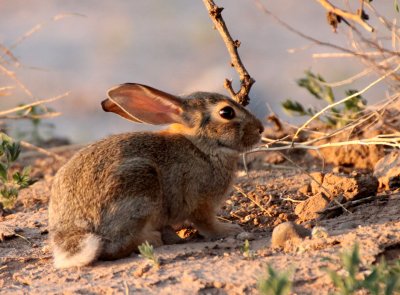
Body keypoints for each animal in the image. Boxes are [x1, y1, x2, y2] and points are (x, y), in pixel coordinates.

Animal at [48, 82, 264, 268]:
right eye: (226, 112)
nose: (260, 129)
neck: (201, 146)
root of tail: (73, 229)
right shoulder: (200, 202)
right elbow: (207, 224)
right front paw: (230, 230)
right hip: (139, 185)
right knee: (114, 247)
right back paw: (153, 239)